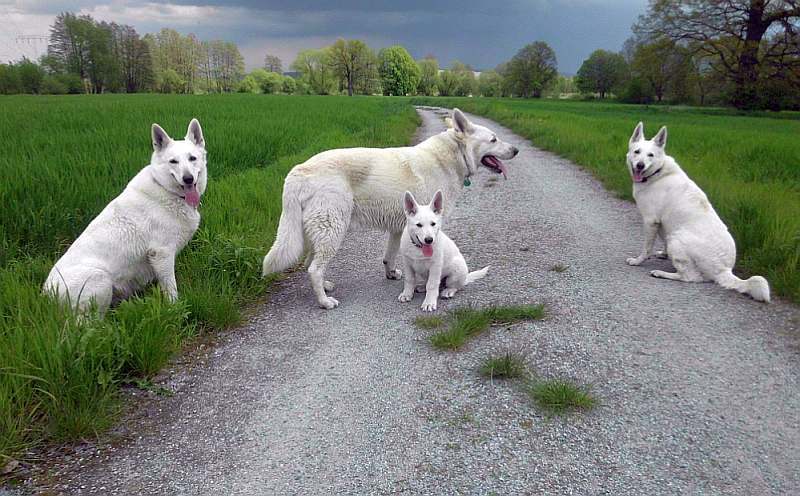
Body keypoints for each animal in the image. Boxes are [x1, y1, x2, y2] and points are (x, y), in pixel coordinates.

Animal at [42, 119, 208, 314]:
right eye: (173, 161)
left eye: (192, 158)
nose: (188, 179)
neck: (166, 189)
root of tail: (46, 296)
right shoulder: (162, 253)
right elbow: (171, 288)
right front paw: (175, 309)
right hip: (100, 279)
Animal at [624, 122, 768, 302]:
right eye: (637, 152)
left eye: (650, 155)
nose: (640, 165)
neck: (658, 172)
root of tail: (725, 270)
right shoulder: (662, 225)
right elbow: (662, 243)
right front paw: (663, 254)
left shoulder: (651, 221)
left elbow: (647, 248)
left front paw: (638, 261)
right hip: (674, 236)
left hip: (677, 239)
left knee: (690, 277)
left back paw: (661, 273)